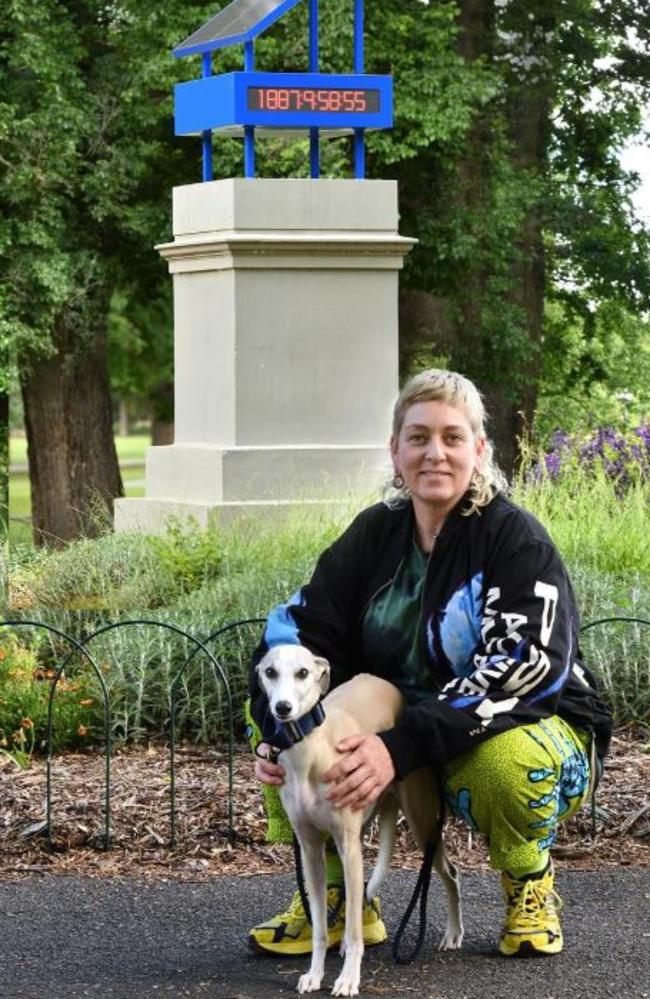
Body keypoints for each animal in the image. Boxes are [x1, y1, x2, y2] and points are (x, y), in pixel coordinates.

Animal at [256, 644, 464, 996]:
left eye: (303, 672)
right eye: (270, 671)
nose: (283, 708)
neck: (311, 748)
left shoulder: (349, 847)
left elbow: (354, 930)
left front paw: (348, 979)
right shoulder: (311, 850)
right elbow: (320, 926)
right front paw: (314, 974)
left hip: (421, 822)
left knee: (449, 873)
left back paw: (453, 933)